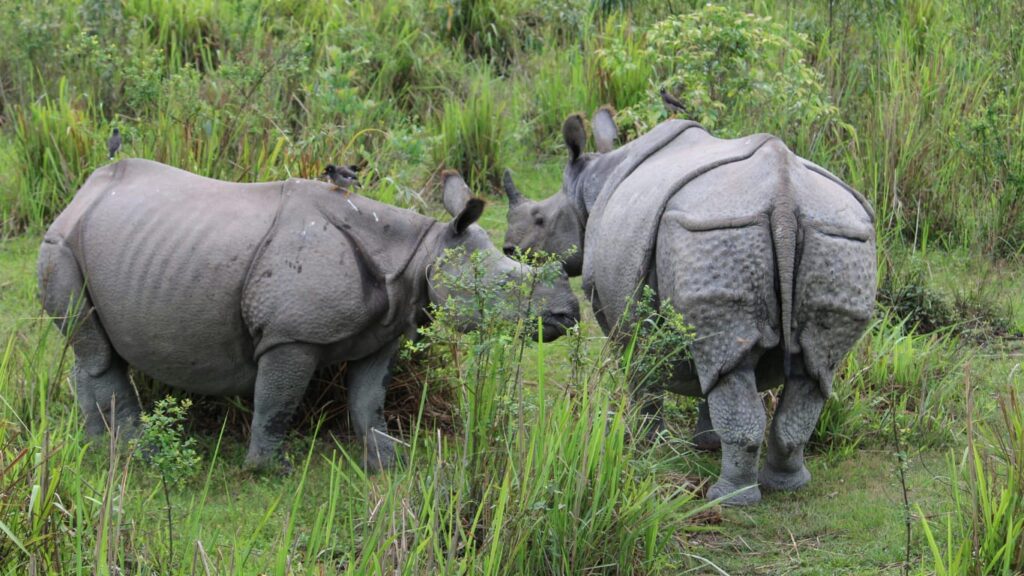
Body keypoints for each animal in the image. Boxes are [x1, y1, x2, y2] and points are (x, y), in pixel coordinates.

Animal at [38, 159, 579, 471]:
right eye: (505, 286)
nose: (568, 315)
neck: (421, 252)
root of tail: (80, 194)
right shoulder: (290, 335)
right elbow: (277, 401)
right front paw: (270, 471)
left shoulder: (386, 330)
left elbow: (368, 401)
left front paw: (391, 462)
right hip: (60, 244)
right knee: (99, 354)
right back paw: (139, 457)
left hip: (100, 243)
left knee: (91, 351)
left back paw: (96, 451)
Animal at [503, 109, 876, 505]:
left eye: (540, 218)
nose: (509, 248)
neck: (590, 184)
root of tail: (785, 198)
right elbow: (708, 375)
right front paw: (705, 443)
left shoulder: (617, 310)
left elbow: (641, 372)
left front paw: (645, 444)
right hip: (834, 236)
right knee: (807, 369)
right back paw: (787, 485)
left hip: (716, 230)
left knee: (736, 366)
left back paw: (726, 499)